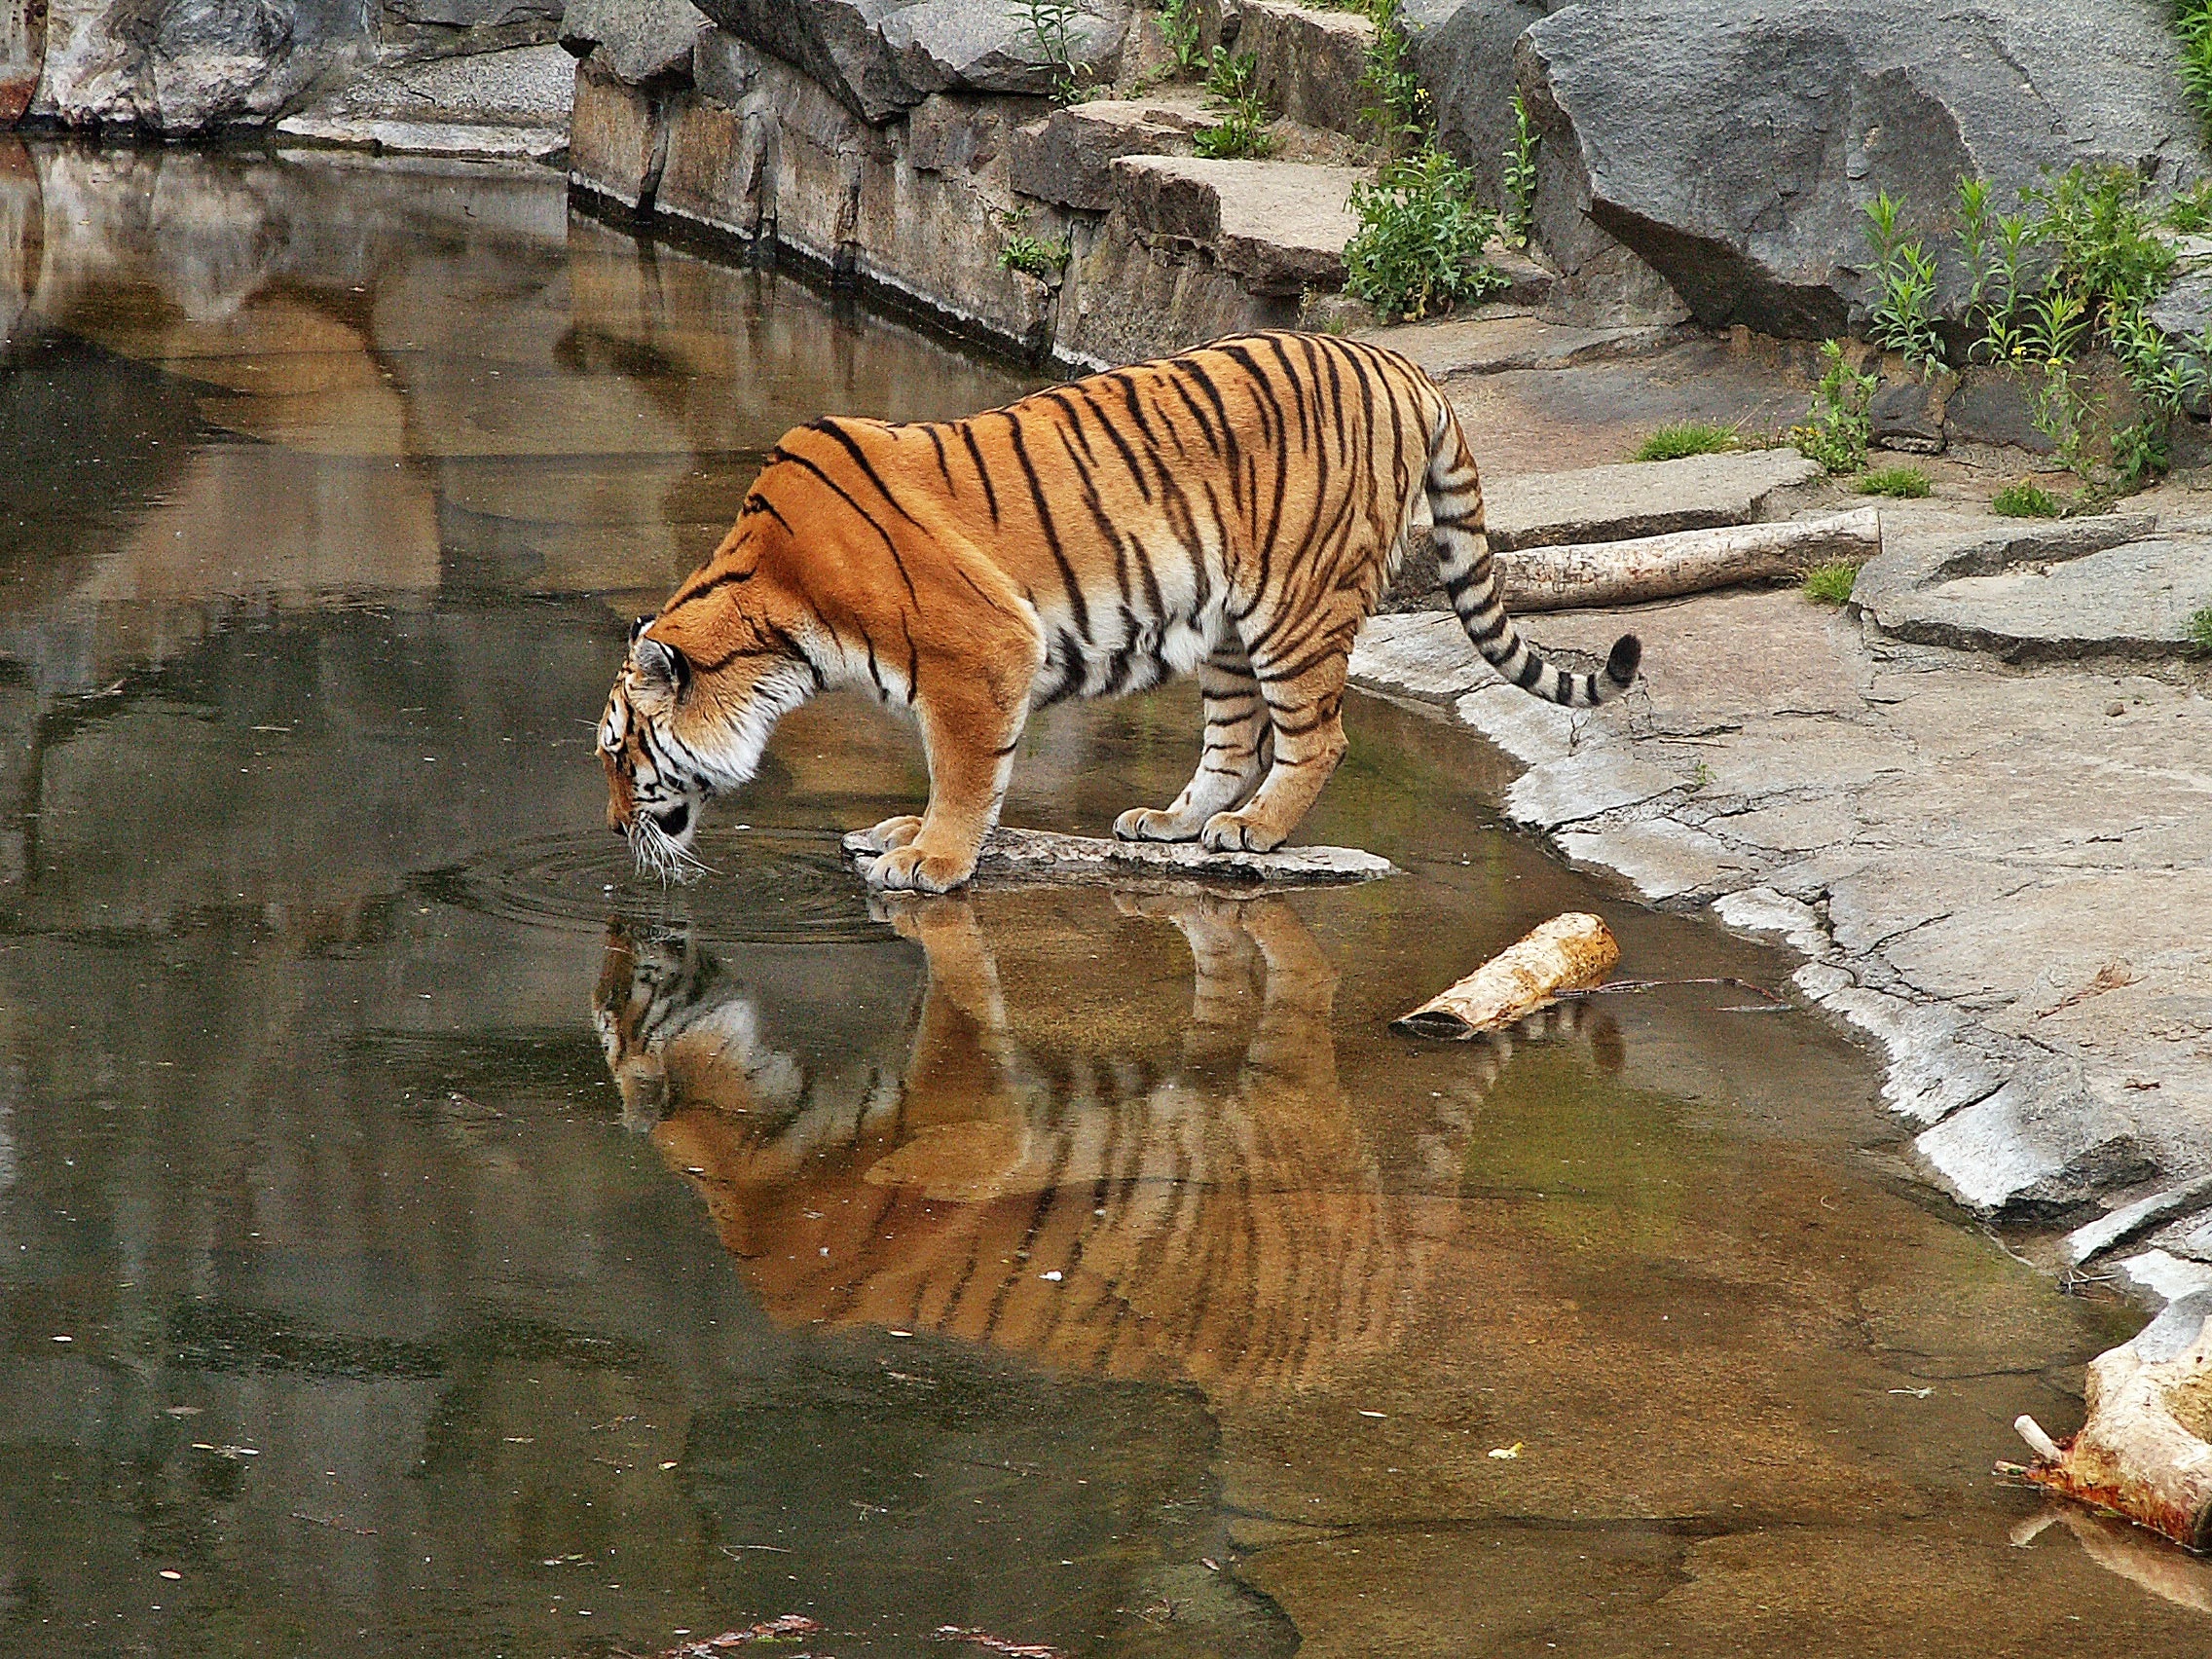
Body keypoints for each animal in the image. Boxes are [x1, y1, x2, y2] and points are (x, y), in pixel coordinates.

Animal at [597, 329, 1637, 889]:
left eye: (618, 752)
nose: (610, 830)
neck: (776, 622)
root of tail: (1404, 365)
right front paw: (904, 836)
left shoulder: (981, 653)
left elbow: (964, 774)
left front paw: (931, 860)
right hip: (1229, 625)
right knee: (1235, 740)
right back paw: (1175, 824)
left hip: (1298, 605)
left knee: (1317, 738)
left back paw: (1258, 829)